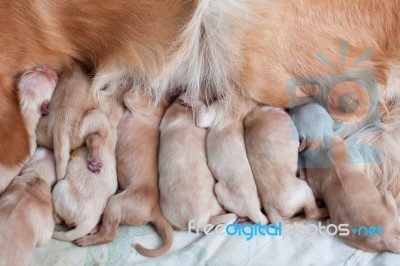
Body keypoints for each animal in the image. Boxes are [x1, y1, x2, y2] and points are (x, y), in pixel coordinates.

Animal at [76, 90, 174, 258]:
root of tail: (155, 210)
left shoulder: (134, 100)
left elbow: (129, 95)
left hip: (115, 204)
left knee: (109, 234)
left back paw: (88, 240)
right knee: (115, 225)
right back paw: (95, 228)